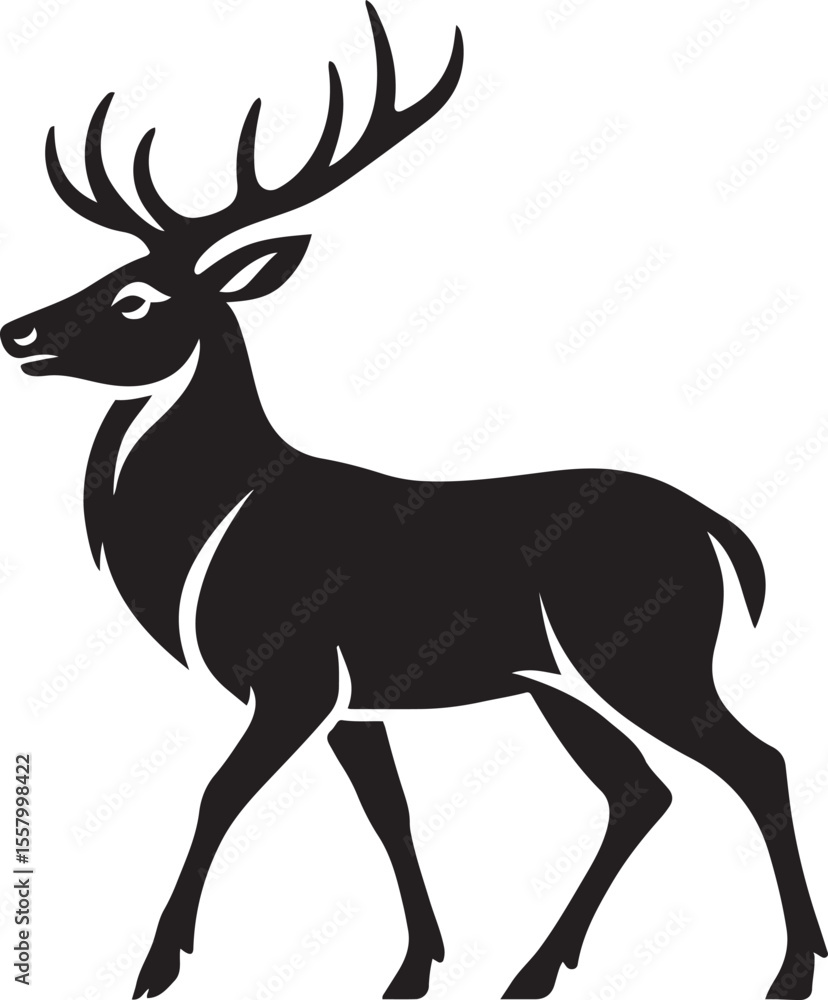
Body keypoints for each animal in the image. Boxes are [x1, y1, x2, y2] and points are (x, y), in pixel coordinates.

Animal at [1, 5, 824, 998]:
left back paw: (790, 968)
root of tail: (717, 531)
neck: (210, 533)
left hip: (642, 654)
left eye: (135, 298)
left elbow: (217, 795)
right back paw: (534, 971)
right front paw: (413, 968)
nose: (17, 330)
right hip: (559, 680)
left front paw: (155, 965)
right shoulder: (356, 703)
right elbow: (388, 814)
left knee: (757, 762)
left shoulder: (295, 676)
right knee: (638, 788)